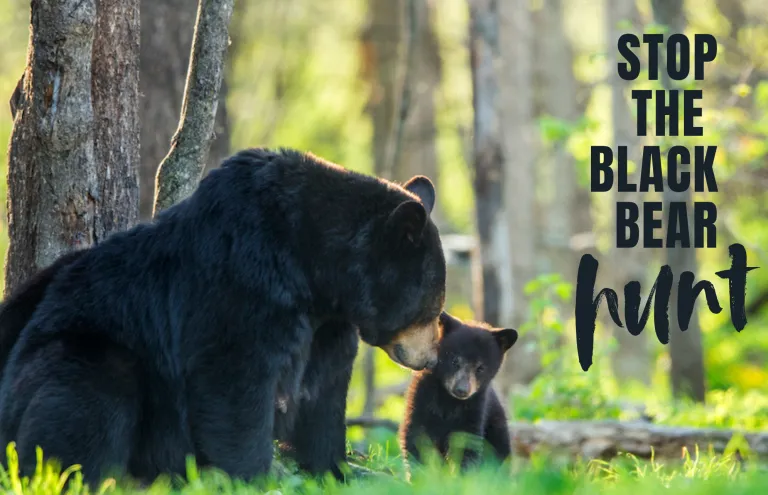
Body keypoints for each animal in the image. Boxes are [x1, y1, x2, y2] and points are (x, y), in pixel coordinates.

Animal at [0, 147, 447, 485]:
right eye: (433, 307)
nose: (431, 358)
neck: (314, 267)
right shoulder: (242, 281)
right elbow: (234, 383)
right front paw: (249, 476)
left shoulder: (328, 325)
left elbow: (325, 394)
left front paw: (331, 470)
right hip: (82, 351)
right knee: (86, 402)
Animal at [399, 311, 517, 473]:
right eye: (454, 360)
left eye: (481, 368)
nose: (461, 390)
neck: (448, 401)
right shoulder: (420, 400)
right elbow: (416, 436)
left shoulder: (475, 410)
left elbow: (467, 444)